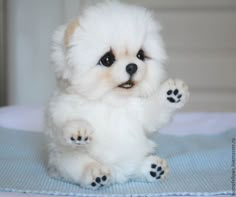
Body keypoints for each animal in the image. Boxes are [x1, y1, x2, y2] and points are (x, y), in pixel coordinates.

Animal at [45, 1, 189, 189]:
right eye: (107, 59)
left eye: (140, 55)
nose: (132, 66)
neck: (112, 102)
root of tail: (120, 174)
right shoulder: (60, 110)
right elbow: (65, 123)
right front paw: (79, 129)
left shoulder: (140, 112)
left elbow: (155, 111)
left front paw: (172, 93)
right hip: (65, 160)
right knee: (80, 165)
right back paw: (97, 173)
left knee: (137, 168)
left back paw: (154, 168)